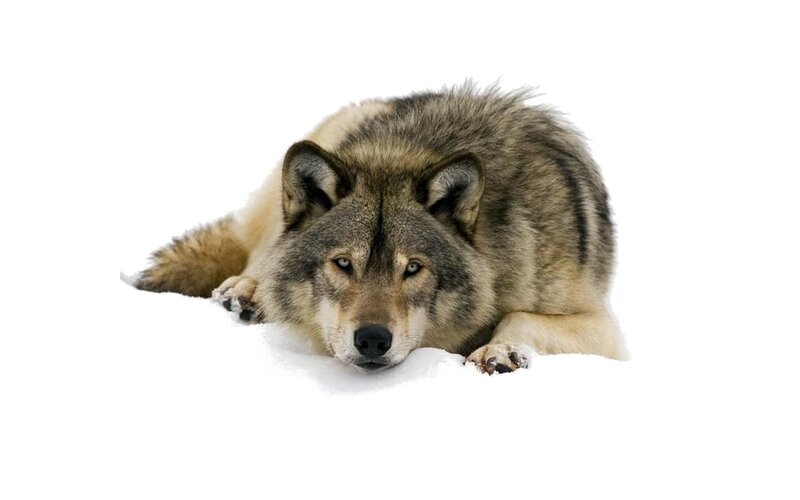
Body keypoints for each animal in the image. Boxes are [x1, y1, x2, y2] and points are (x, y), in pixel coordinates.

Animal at [135, 84, 626, 374]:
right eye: (342, 263)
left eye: (412, 269)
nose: (372, 339)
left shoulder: (604, 329)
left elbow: (517, 315)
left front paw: (499, 350)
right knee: (261, 252)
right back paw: (246, 292)